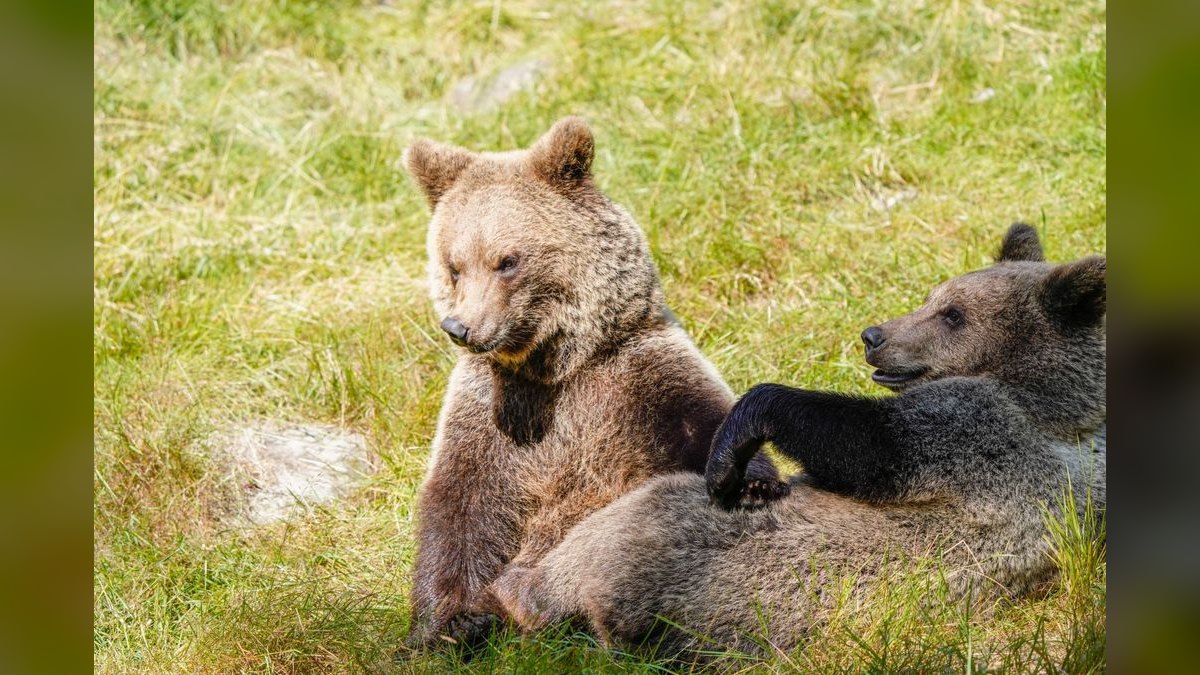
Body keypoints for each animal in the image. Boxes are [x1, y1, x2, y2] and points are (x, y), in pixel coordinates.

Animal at [401, 117, 784, 649]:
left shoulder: (636, 375)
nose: (460, 327)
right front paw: (453, 622)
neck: (558, 367)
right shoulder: (491, 413)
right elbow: (460, 507)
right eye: (454, 265)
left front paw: (750, 482)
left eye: (508, 261)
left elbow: (702, 426)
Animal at [488, 223, 1107, 658]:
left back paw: (524, 593)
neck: (1055, 404)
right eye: (934, 297)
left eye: (953, 314)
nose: (874, 336)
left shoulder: (988, 439)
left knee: (637, 525)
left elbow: (870, 444)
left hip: (710, 579)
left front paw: (736, 444)